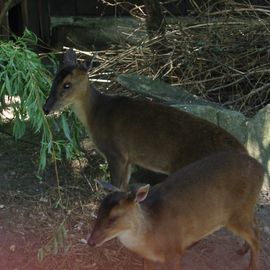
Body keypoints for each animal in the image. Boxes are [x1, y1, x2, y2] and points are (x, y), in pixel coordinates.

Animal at [43, 49, 247, 191]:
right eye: (53, 80)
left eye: (67, 85)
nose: (46, 108)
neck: (96, 114)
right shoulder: (128, 158)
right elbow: (123, 189)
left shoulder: (115, 153)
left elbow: (114, 188)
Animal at [88, 152, 264, 270]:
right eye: (98, 212)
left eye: (113, 218)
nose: (90, 242)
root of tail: (262, 169)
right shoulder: (147, 257)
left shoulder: (175, 251)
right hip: (246, 209)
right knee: (256, 224)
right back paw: (242, 249)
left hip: (237, 214)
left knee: (256, 237)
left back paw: (252, 266)